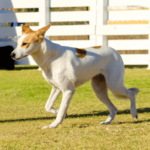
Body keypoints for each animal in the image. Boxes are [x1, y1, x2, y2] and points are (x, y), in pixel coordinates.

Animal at [10, 24, 139, 129]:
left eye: (25, 44)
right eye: (18, 44)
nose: (12, 55)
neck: (51, 57)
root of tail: (115, 51)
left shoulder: (68, 91)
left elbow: (61, 110)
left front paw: (53, 125)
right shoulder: (57, 88)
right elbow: (48, 106)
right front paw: (58, 113)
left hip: (114, 85)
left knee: (131, 93)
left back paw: (134, 113)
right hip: (99, 90)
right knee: (113, 108)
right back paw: (107, 122)